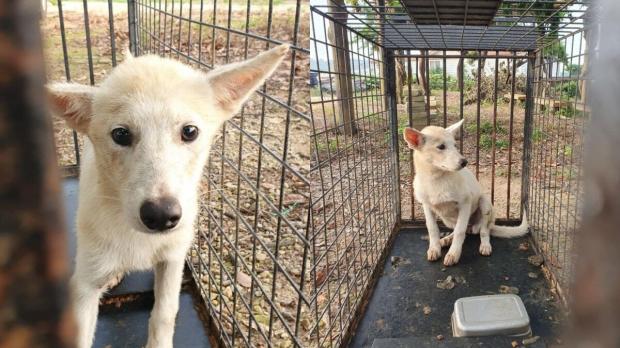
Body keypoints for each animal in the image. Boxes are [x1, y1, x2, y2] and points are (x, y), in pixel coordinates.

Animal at [47, 44, 290, 348]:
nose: (162, 216)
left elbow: (164, 312)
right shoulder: (84, 285)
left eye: (190, 131)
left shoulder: (173, 258)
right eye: (120, 134)